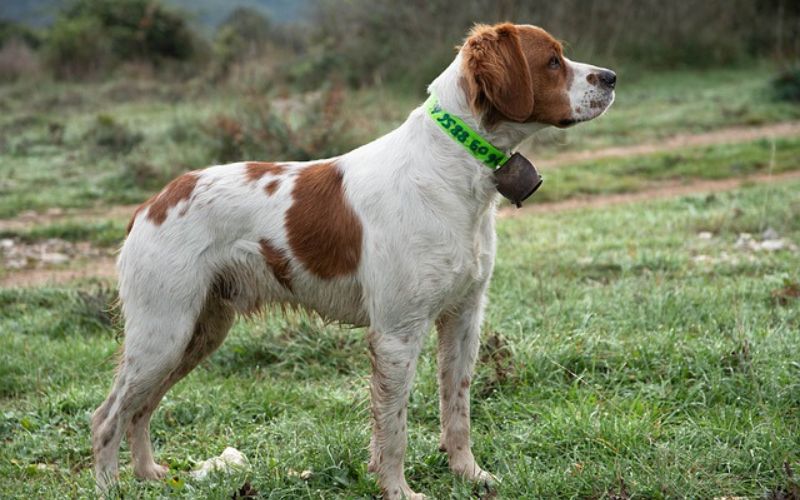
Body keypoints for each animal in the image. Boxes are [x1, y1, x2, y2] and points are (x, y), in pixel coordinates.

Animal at [95, 22, 620, 496]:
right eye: (552, 61)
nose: (612, 77)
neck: (452, 167)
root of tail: (152, 203)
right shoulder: (396, 333)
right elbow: (393, 429)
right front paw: (398, 491)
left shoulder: (462, 318)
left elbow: (457, 410)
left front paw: (470, 475)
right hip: (163, 333)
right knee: (107, 417)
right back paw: (111, 486)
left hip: (197, 332)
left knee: (139, 409)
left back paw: (149, 474)